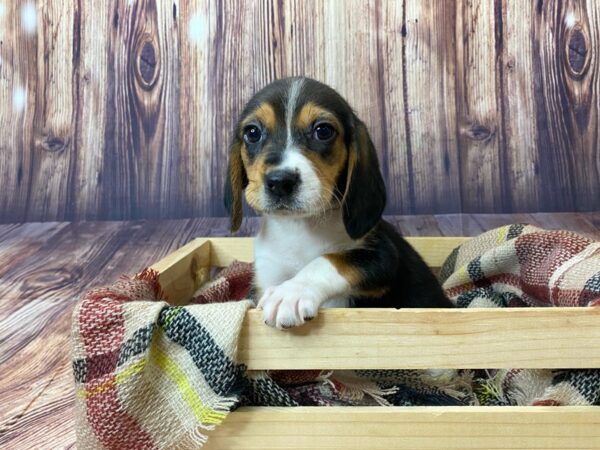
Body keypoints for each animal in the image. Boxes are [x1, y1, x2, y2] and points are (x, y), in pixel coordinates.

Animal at [224, 77, 450, 328]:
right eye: (252, 132)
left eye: (323, 131)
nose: (280, 182)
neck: (298, 227)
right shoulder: (267, 274)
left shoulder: (382, 257)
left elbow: (330, 259)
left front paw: (291, 292)